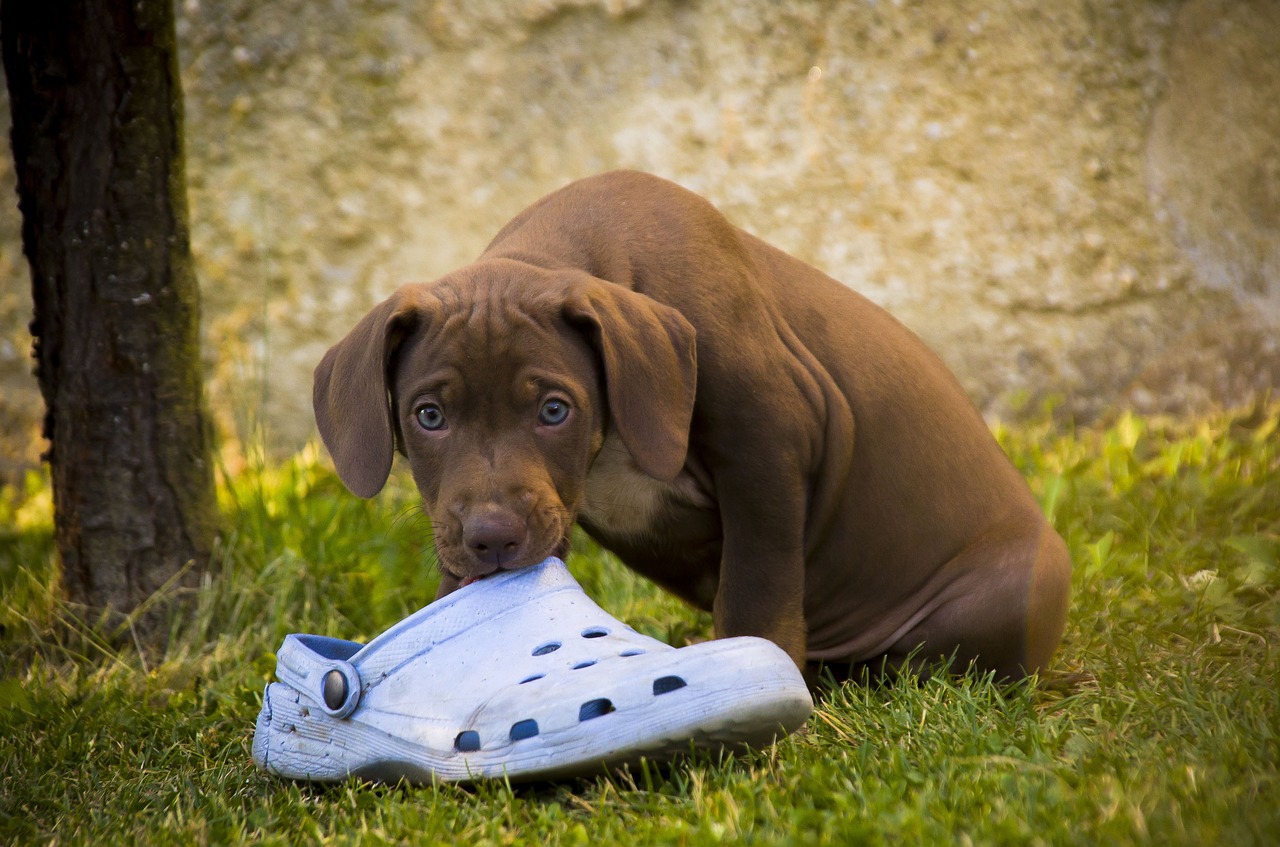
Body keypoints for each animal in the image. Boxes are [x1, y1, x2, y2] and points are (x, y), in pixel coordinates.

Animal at [317, 168, 1070, 680]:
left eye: (555, 410)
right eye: (429, 416)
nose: (491, 537)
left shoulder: (768, 445)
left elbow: (758, 585)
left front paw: (758, 667)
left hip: (1012, 590)